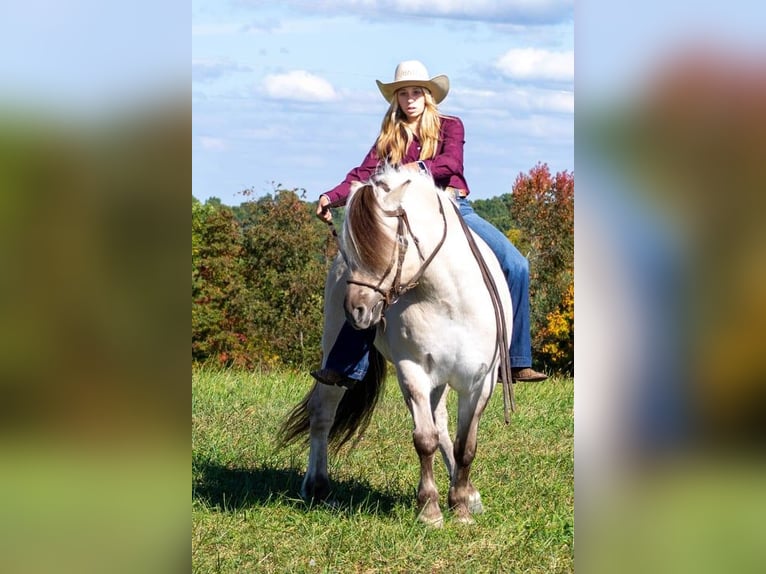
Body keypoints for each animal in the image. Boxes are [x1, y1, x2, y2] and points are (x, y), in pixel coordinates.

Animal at [280, 165, 512, 528]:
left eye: (389, 242)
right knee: (322, 412)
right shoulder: (413, 372)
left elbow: (466, 446)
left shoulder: (480, 381)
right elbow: (425, 439)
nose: (356, 310)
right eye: (351, 247)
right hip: (334, 356)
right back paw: (318, 487)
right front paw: (429, 509)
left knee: (442, 422)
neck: (449, 299)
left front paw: (461, 505)